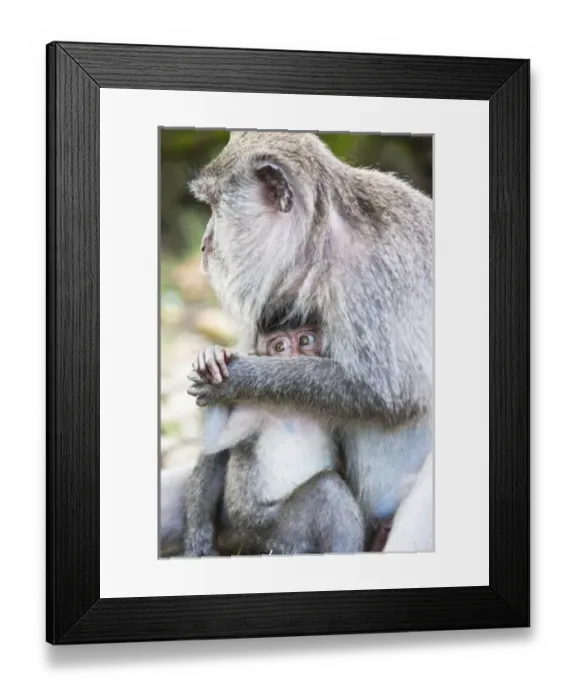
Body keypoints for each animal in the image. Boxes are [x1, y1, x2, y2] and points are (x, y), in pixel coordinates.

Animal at [183, 325, 366, 557]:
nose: (295, 360)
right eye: (279, 347)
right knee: (328, 488)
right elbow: (215, 442)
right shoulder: (254, 407)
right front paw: (213, 360)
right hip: (269, 529)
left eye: (305, 341)